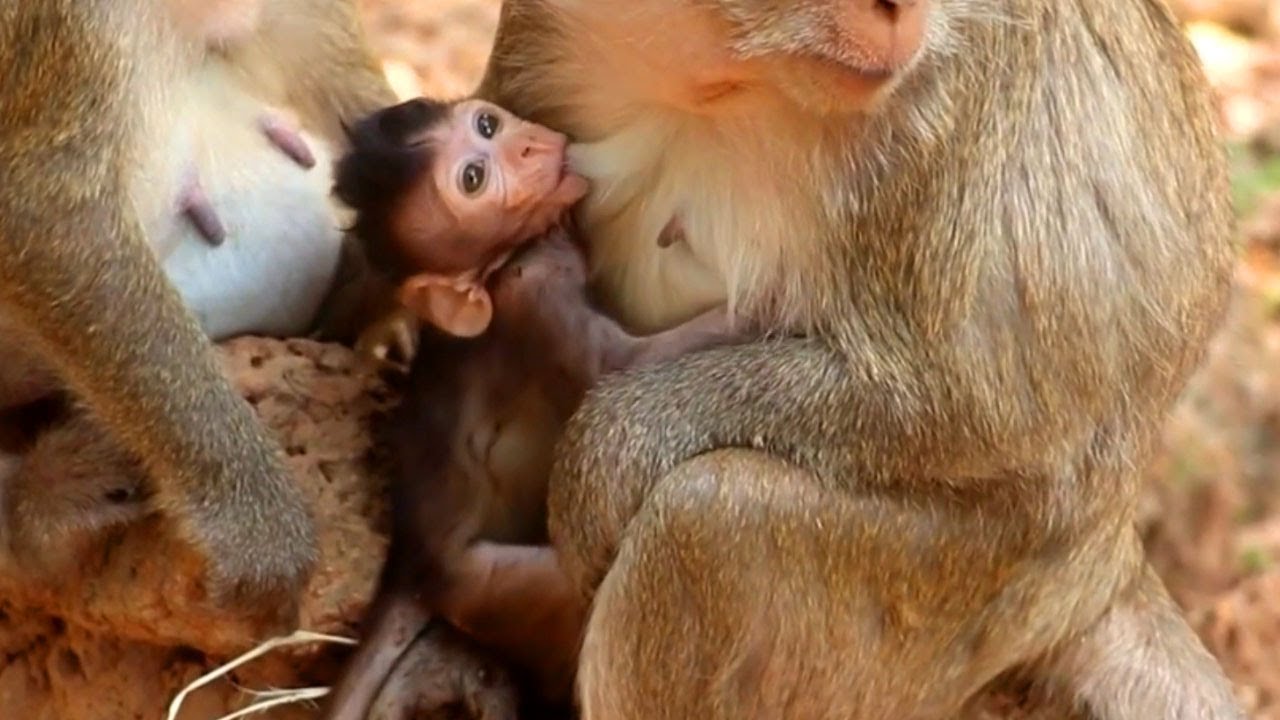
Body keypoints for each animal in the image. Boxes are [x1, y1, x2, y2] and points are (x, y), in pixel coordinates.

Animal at [318, 96, 751, 720]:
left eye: (487, 125)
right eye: (473, 179)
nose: (524, 147)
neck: (507, 258)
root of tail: (411, 561)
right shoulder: (537, 291)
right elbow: (618, 369)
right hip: (485, 585)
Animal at [414, 0, 1251, 717]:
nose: (899, 8)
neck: (725, 72)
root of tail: (1107, 561)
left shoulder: (960, 104)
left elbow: (985, 411)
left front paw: (608, 459)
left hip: (957, 603)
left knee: (709, 519)